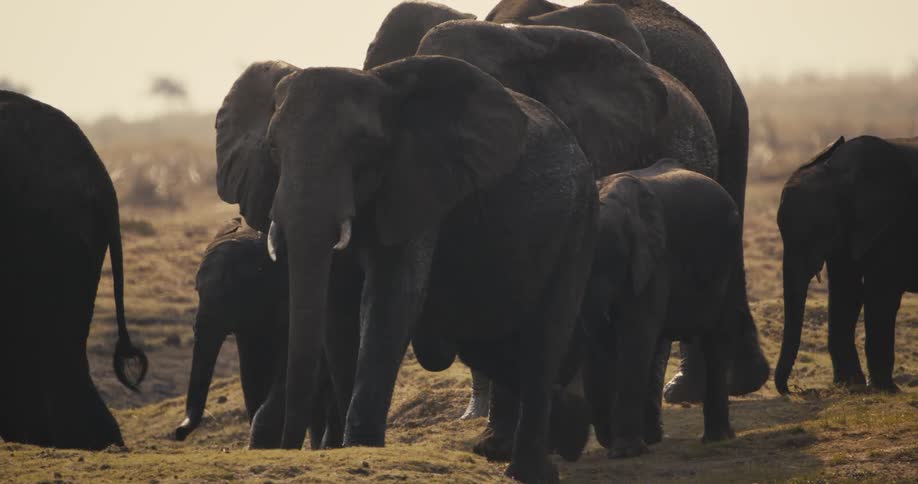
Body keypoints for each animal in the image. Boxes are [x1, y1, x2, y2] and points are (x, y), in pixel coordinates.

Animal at [214, 55, 597, 483]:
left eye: (365, 147)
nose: (287, 448)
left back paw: (531, 468)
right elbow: (338, 307)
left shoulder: (419, 185)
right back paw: (568, 431)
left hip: (579, 222)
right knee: (491, 339)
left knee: (543, 338)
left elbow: (391, 295)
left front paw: (361, 447)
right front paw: (347, 450)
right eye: (273, 148)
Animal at [581, 159, 740, 458]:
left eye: (612, 260)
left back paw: (716, 438)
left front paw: (624, 452)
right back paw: (653, 436)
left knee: (714, 338)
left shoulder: (653, 260)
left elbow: (636, 334)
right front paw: (619, 444)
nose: (605, 439)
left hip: (728, 256)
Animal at [776, 136, 918, 394]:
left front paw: (885, 389)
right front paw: (850, 384)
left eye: (815, 232)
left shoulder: (894, 225)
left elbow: (880, 295)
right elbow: (846, 293)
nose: (793, 390)